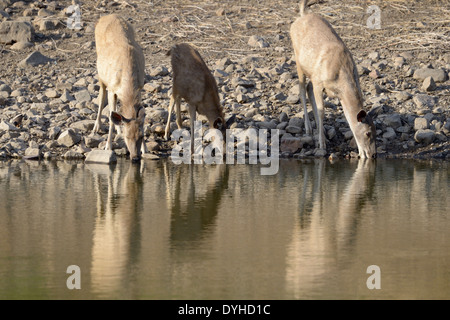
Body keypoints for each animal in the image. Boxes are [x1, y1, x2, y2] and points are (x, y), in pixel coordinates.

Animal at [92, 13, 145, 161]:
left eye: (141, 136)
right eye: (127, 137)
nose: (135, 157)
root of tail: (106, 16)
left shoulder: (140, 87)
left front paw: (145, 150)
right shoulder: (112, 88)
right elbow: (110, 119)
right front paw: (108, 146)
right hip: (101, 74)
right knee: (101, 97)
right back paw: (97, 126)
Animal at [290, 0, 374, 158]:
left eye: (377, 131)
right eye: (368, 133)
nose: (372, 154)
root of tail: (301, 15)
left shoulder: (334, 91)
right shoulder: (319, 82)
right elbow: (321, 111)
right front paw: (321, 145)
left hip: (311, 72)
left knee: (308, 88)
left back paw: (318, 129)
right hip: (299, 62)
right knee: (302, 90)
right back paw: (309, 129)